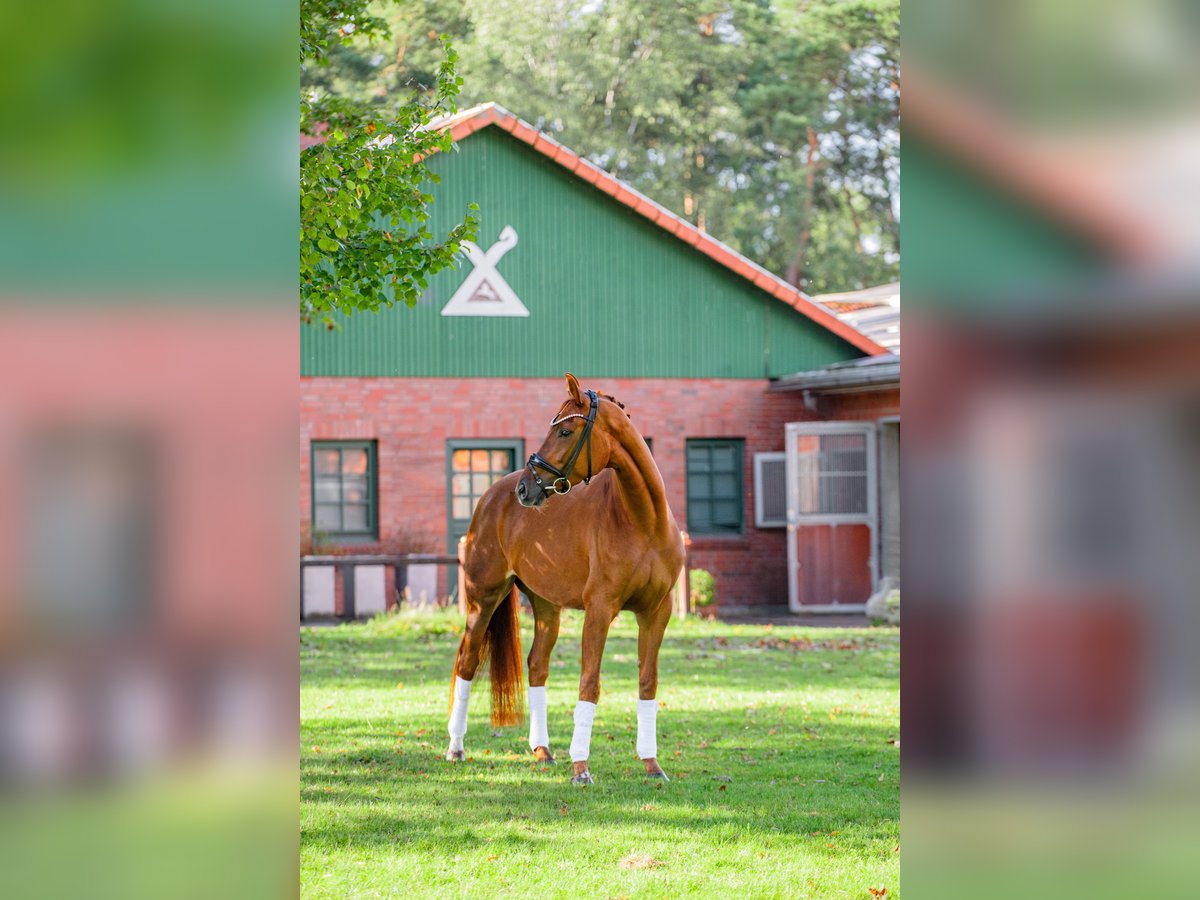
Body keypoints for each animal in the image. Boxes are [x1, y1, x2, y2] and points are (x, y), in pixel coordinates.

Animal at [446, 374, 686, 782]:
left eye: (565, 431)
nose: (526, 488)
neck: (643, 521)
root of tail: (492, 496)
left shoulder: (657, 612)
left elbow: (647, 683)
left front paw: (652, 765)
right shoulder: (600, 610)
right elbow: (589, 684)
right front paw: (581, 768)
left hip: (546, 607)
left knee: (537, 666)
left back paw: (543, 751)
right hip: (483, 599)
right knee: (467, 661)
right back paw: (456, 748)